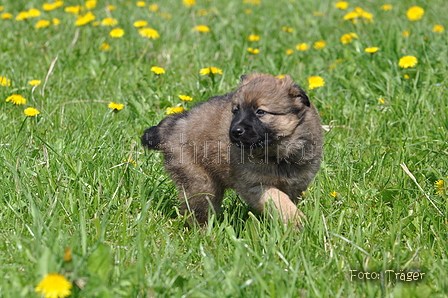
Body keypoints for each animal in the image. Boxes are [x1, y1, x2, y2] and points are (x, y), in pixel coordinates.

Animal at [142, 73, 324, 227]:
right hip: (200, 183)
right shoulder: (256, 185)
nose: (235, 131)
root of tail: (172, 126)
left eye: (260, 112)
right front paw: (296, 220)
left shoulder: (297, 185)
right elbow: (278, 200)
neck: (277, 153)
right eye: (236, 111)